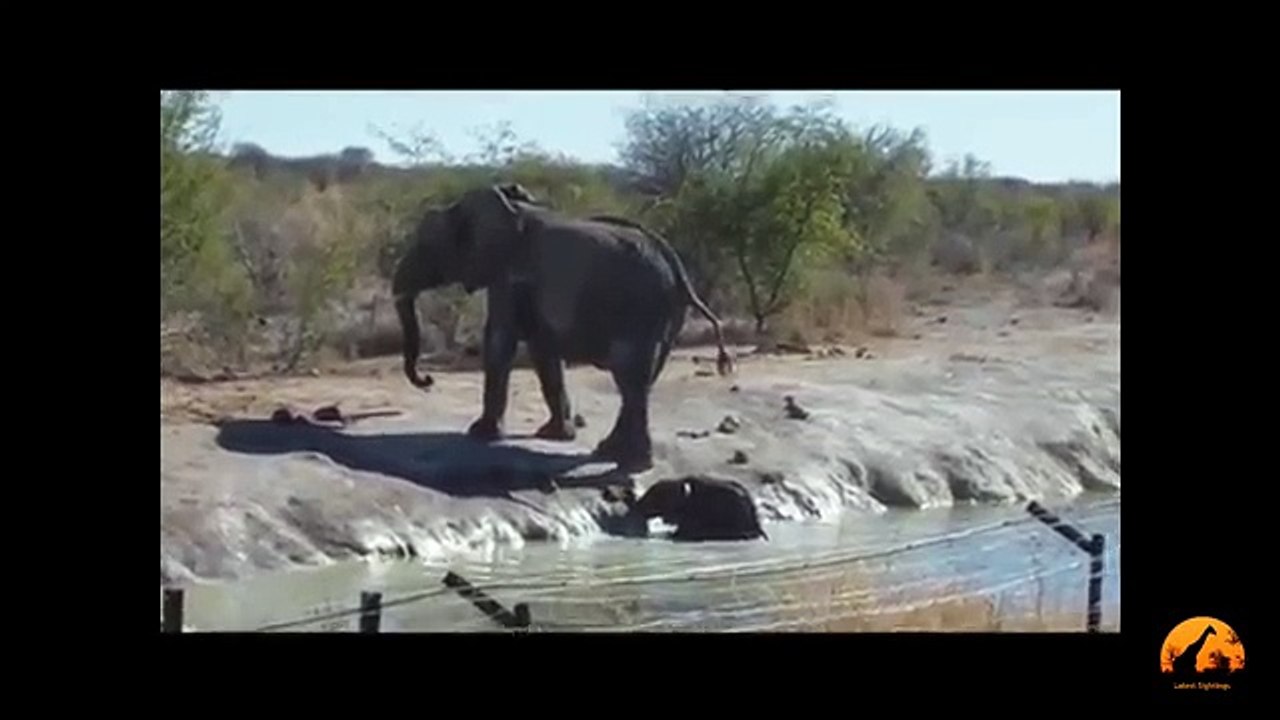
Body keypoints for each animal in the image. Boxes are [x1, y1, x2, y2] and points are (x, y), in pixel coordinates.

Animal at [392, 183, 734, 472]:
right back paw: (609, 452)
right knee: (640, 382)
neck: (511, 206)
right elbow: (543, 353)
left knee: (630, 378)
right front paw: (555, 435)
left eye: (426, 245)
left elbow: (500, 341)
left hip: (640, 309)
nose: (428, 380)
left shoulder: (508, 277)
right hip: (664, 317)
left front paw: (480, 434)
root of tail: (679, 272)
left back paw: (629, 463)